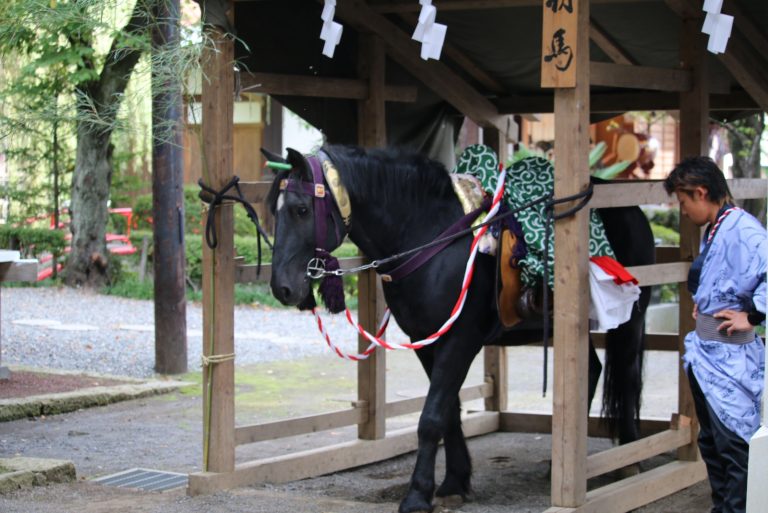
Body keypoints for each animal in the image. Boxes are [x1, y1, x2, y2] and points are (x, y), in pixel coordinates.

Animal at [264, 144, 656, 512]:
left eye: (301, 209)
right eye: (274, 210)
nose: (282, 287)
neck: (429, 235)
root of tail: (631, 209)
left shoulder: (461, 338)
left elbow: (432, 415)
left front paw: (417, 495)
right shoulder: (425, 340)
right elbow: (449, 411)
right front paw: (454, 481)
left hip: (631, 319)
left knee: (627, 374)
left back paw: (630, 458)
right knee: (591, 370)